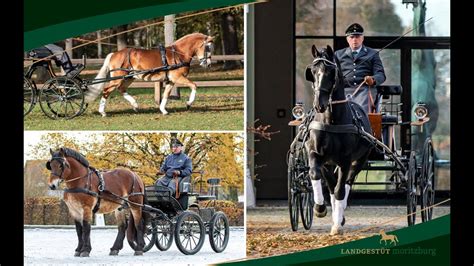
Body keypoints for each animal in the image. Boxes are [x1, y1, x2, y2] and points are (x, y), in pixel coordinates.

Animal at [84, 32, 215, 116]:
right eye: (208, 48)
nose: (208, 64)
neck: (178, 54)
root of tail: (114, 54)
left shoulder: (171, 80)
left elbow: (166, 94)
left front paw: (163, 110)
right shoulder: (178, 77)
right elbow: (194, 85)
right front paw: (188, 104)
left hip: (129, 77)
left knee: (121, 89)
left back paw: (135, 105)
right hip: (118, 78)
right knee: (106, 90)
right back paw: (103, 112)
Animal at [304, 45, 374, 235]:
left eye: (330, 72)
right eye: (313, 72)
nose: (319, 105)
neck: (331, 120)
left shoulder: (345, 160)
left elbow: (340, 190)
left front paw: (336, 224)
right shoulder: (316, 154)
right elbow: (315, 175)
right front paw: (319, 208)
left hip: (359, 161)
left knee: (345, 185)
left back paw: (339, 217)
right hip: (329, 163)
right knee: (331, 184)